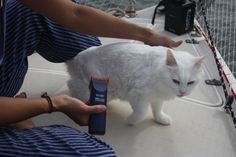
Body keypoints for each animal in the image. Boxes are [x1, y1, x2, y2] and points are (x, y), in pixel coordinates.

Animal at [65, 42, 204, 125]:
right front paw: (131, 120)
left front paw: (161, 119)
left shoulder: (157, 98)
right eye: (175, 81)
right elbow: (142, 112)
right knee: (71, 85)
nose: (182, 92)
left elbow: (158, 110)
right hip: (87, 85)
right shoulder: (138, 95)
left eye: (190, 83)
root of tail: (75, 58)